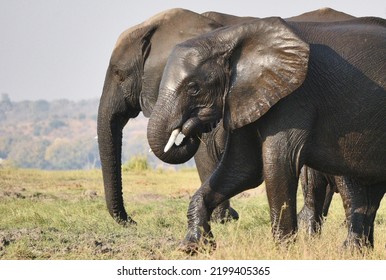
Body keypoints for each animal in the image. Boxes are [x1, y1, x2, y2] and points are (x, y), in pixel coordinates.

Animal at [146, 16, 384, 250]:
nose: (189, 127)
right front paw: (192, 247)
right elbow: (243, 168)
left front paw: (285, 251)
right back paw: (358, 251)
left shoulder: (294, 97)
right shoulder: (245, 96)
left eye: (194, 88)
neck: (229, 37)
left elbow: (278, 163)